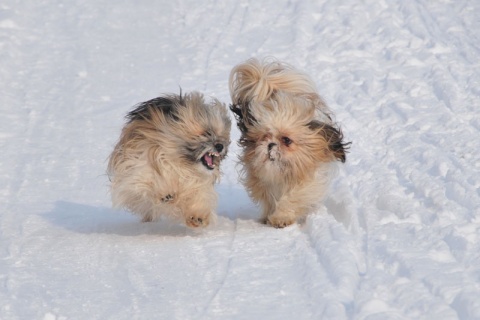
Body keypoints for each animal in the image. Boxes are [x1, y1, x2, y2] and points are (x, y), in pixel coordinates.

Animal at [107, 91, 231, 229]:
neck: (181, 163)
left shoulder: (196, 183)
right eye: (206, 133)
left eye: (222, 136)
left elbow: (197, 195)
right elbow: (148, 177)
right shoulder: (138, 167)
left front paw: (197, 216)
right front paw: (165, 191)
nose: (220, 146)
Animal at [229, 57, 348, 228]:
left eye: (286, 140)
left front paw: (281, 218)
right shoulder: (262, 182)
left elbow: (292, 198)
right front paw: (270, 216)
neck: (283, 173)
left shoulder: (307, 183)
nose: (270, 145)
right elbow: (269, 199)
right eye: (264, 137)